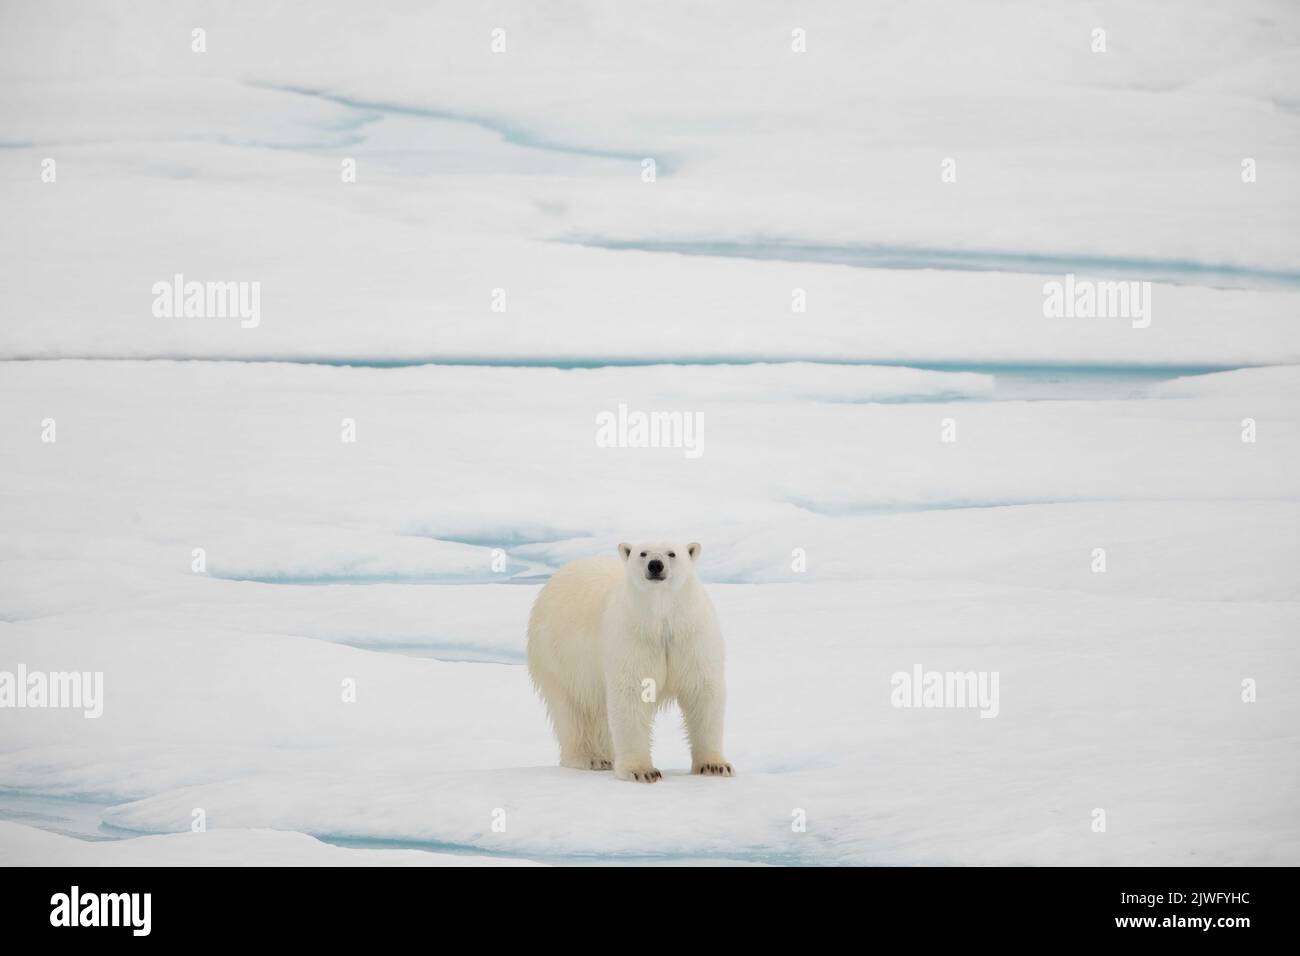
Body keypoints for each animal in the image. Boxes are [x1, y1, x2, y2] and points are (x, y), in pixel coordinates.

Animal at [525, 541, 733, 780]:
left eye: (672, 553)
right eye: (642, 553)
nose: (655, 565)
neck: (660, 621)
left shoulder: (690, 635)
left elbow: (703, 691)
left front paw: (715, 766)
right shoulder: (632, 636)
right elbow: (632, 692)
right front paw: (642, 771)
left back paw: (608, 757)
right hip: (558, 657)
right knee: (571, 709)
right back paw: (590, 758)